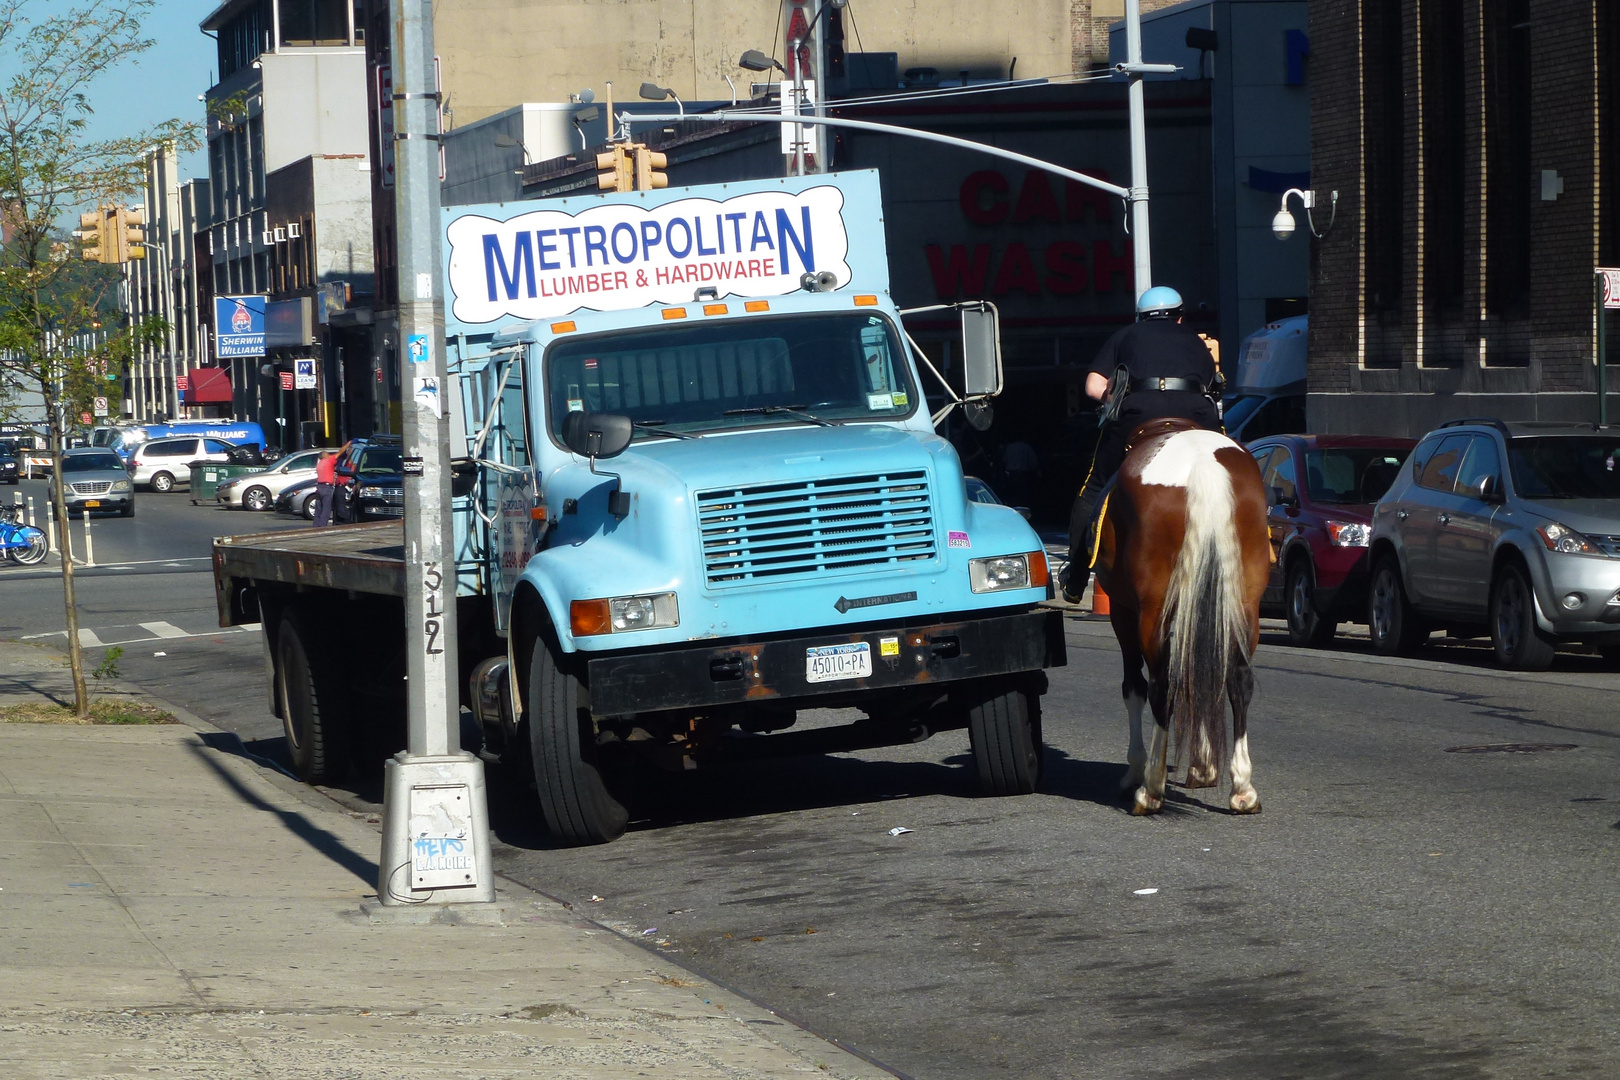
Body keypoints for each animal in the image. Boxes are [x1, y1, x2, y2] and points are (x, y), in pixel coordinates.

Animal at [1095, 417, 1270, 816]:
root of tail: (1204, 464)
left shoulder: (1122, 611)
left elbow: (1134, 687)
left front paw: (1136, 769)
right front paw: (1203, 768)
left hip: (1152, 611)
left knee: (1162, 684)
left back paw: (1150, 789)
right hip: (1244, 606)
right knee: (1237, 679)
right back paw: (1243, 789)